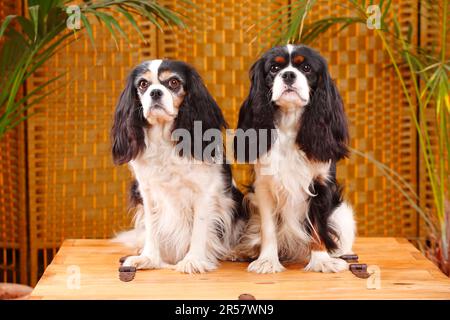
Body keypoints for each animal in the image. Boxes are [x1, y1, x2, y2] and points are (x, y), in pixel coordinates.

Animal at [112, 60, 246, 276]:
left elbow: (199, 230)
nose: (155, 92)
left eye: (174, 82)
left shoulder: (204, 193)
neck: (164, 139)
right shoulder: (147, 193)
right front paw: (149, 258)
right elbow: (152, 228)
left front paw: (193, 260)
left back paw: (235, 251)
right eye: (143, 84)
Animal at [232, 45, 356, 274]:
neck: (289, 120)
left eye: (306, 68)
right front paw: (267, 260)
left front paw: (321, 260)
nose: (288, 75)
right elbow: (268, 228)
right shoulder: (263, 188)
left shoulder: (320, 185)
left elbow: (317, 226)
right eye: (274, 68)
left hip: (343, 215)